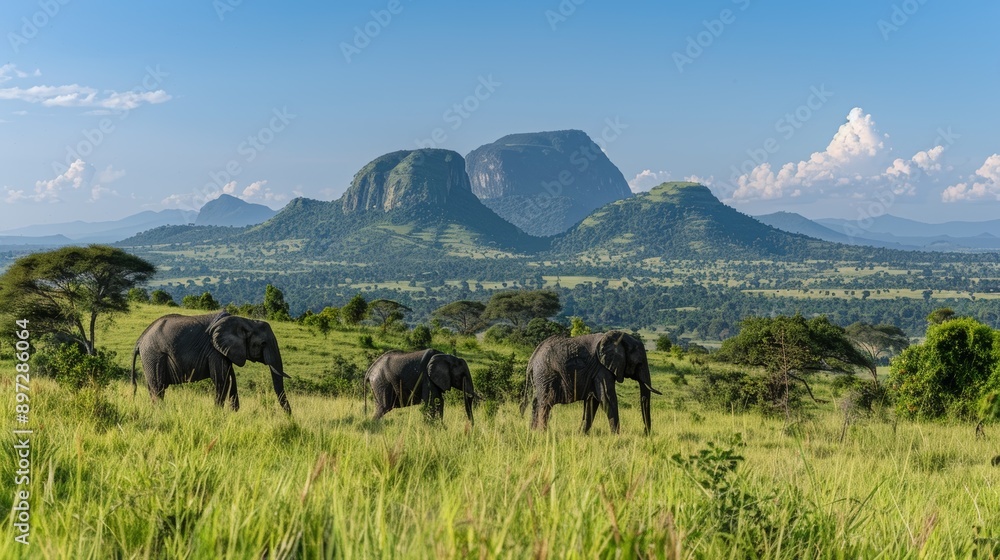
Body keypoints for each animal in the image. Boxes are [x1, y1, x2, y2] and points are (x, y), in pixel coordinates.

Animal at [131, 310, 292, 412]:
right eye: (263, 344)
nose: (290, 417)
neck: (245, 321)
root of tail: (139, 340)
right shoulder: (214, 350)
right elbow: (222, 380)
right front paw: (218, 414)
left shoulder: (225, 351)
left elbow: (231, 379)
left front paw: (233, 413)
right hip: (154, 356)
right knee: (158, 387)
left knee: (153, 387)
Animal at [520, 330, 660, 436]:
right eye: (639, 363)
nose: (646, 433)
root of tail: (532, 359)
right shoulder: (601, 369)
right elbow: (607, 398)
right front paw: (616, 436)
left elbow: (592, 401)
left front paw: (580, 434)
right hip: (546, 374)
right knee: (545, 403)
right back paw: (542, 433)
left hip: (540, 377)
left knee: (536, 402)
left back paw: (533, 432)